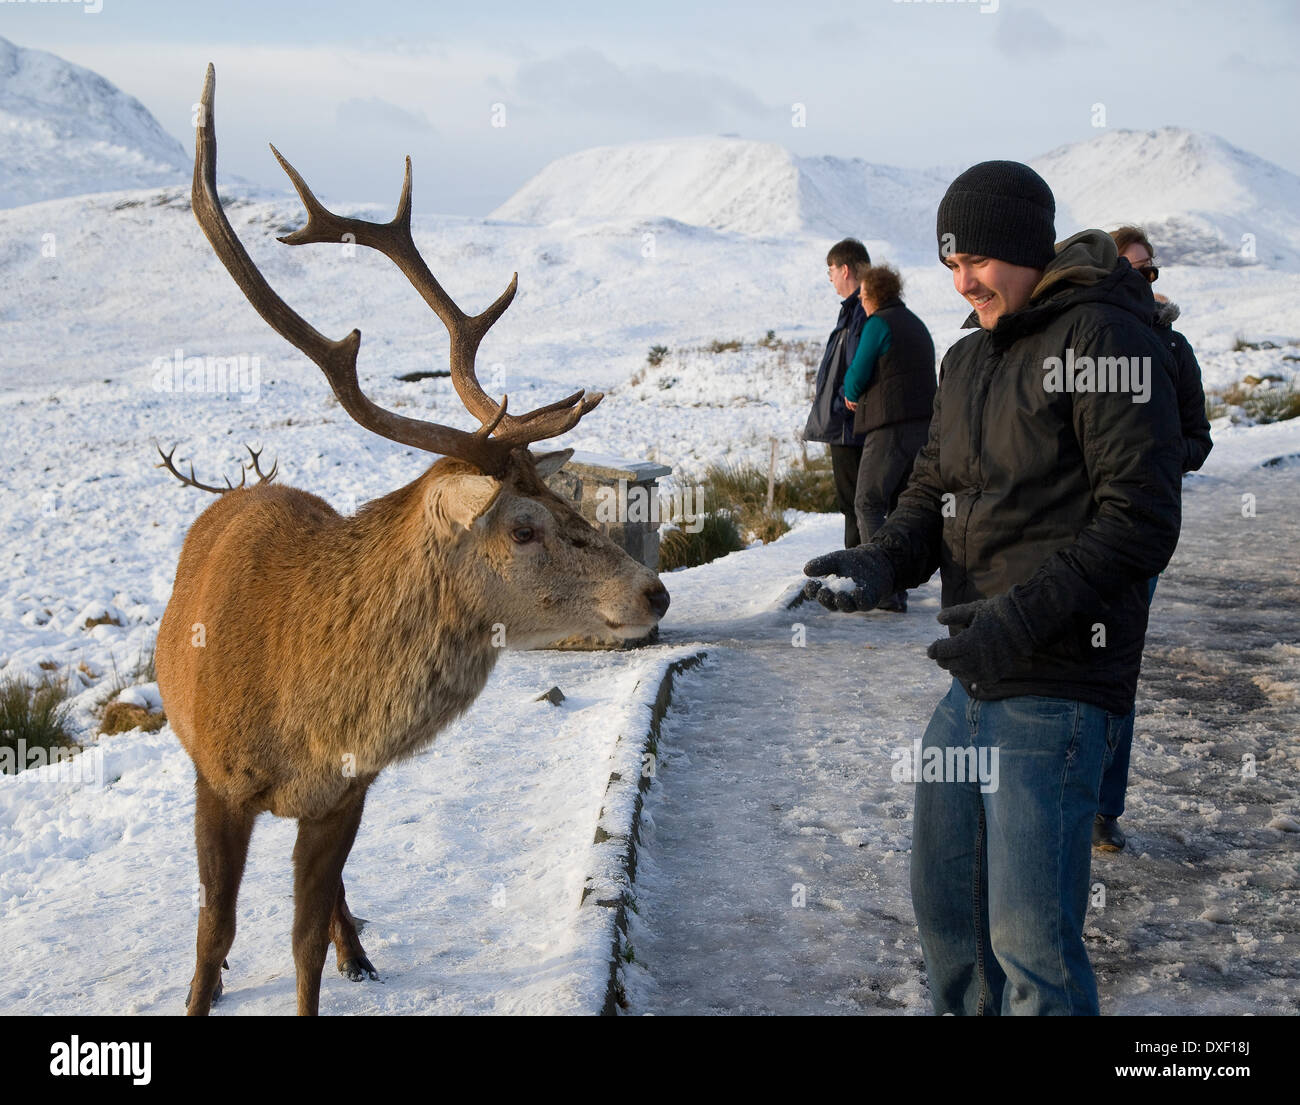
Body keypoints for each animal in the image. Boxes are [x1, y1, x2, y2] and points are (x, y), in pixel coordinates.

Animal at [154, 65, 670, 1016]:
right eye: (525, 523)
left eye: (561, 493)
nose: (653, 590)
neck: (304, 711)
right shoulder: (216, 777)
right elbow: (213, 935)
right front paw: (205, 990)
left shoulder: (346, 792)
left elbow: (301, 947)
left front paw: (335, 961)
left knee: (331, 909)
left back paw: (359, 949)